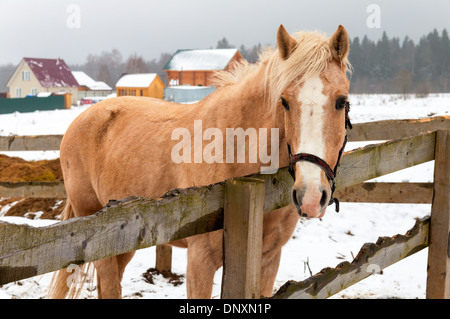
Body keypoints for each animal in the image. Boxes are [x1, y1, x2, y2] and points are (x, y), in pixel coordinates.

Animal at [49, 25, 352, 300]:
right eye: (285, 102)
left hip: (123, 244)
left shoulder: (269, 259)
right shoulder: (201, 262)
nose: (310, 196)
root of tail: (79, 121)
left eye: (342, 101)